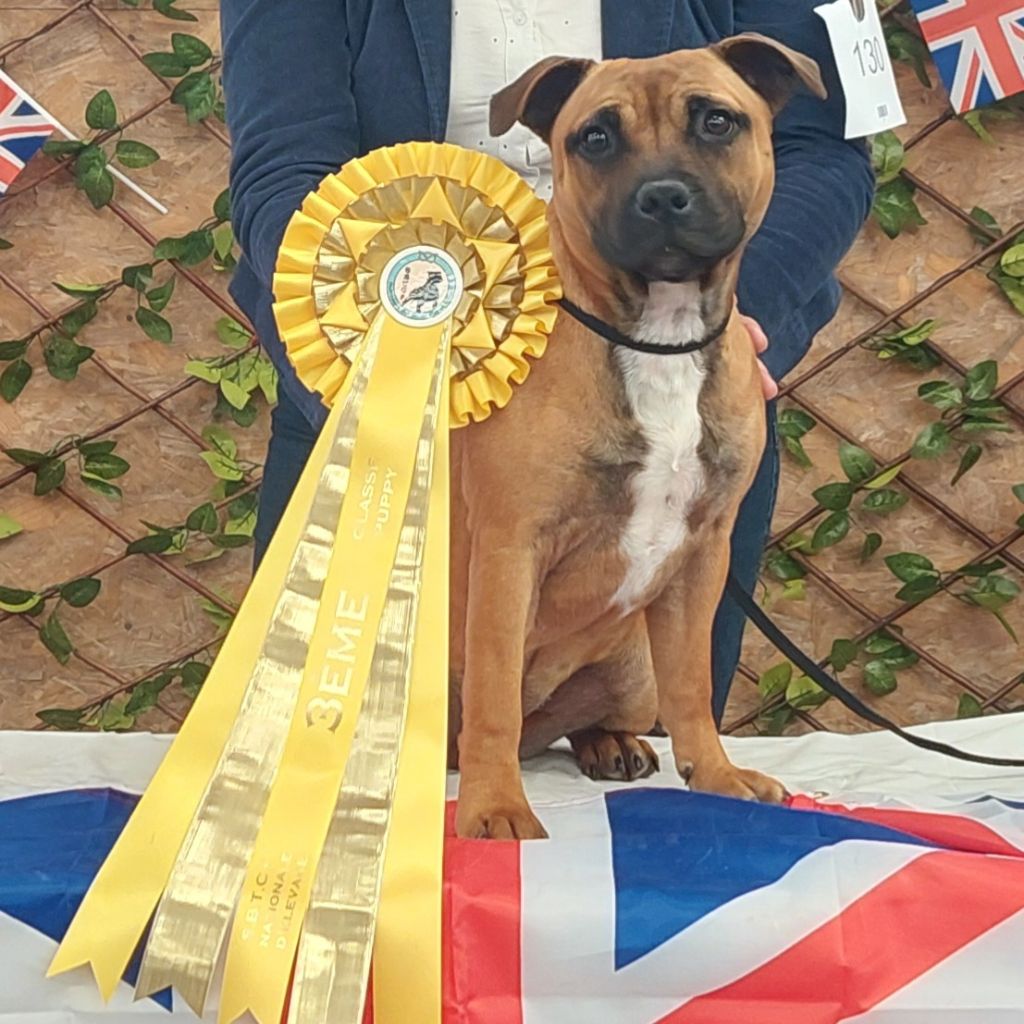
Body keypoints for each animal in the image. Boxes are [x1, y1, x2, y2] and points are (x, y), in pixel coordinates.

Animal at [446, 37, 823, 839]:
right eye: (595, 138)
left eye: (717, 121)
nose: (662, 196)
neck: (658, 337)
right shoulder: (509, 549)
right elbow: (491, 695)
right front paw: (496, 808)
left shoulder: (702, 555)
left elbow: (692, 687)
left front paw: (717, 778)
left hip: (631, 666)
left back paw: (611, 743)